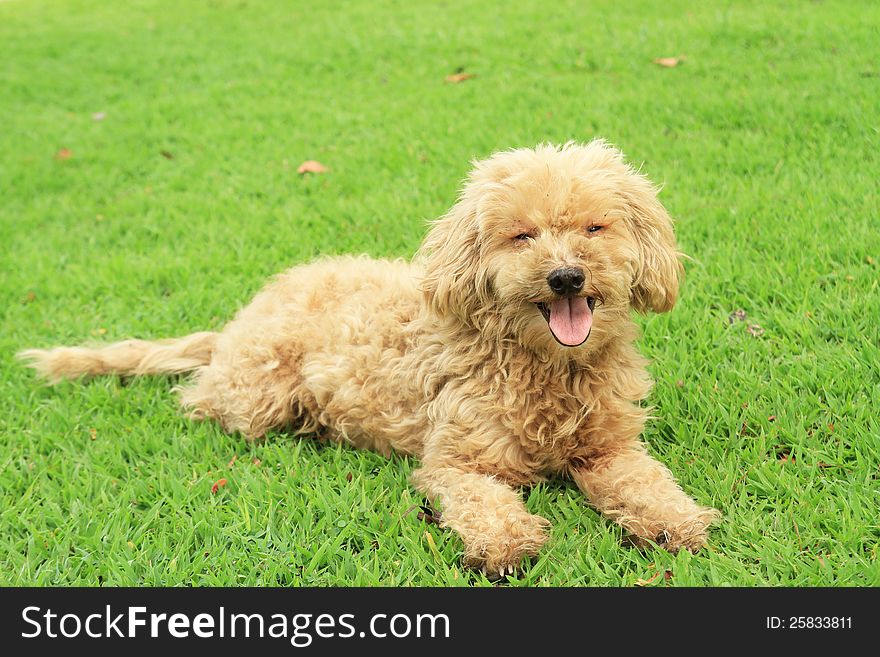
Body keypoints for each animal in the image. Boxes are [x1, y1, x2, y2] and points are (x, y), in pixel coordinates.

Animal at [20, 140, 720, 576]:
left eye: (594, 228)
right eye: (521, 236)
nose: (566, 276)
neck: (544, 364)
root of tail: (236, 324)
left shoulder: (610, 449)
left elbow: (647, 483)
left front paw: (676, 522)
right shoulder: (455, 462)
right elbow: (483, 502)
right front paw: (506, 542)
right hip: (258, 395)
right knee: (199, 400)